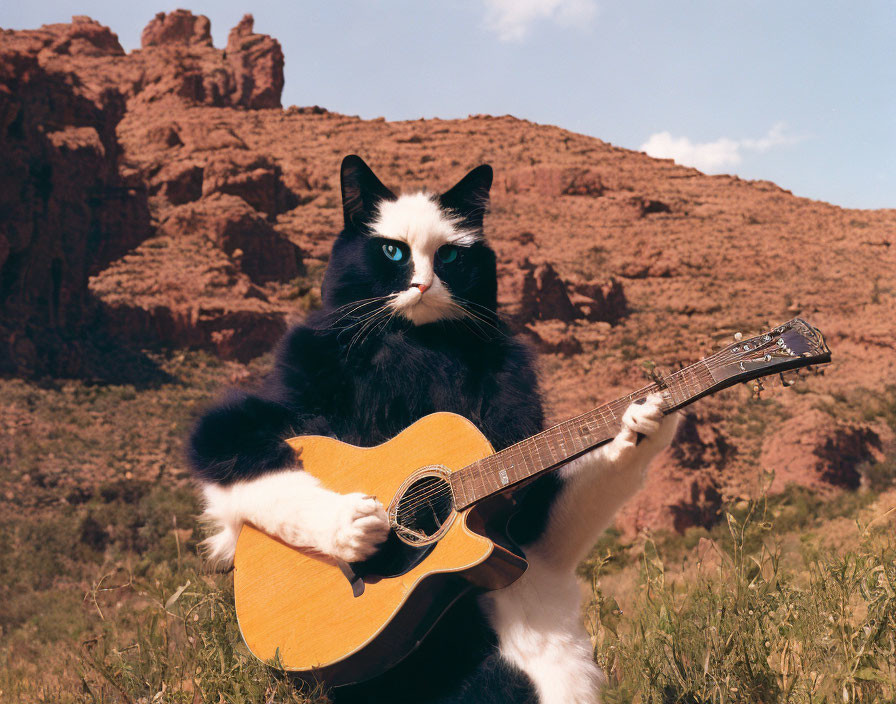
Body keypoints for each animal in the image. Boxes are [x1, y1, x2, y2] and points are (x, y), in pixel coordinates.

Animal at [189, 155, 680, 704]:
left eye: (448, 255)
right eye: (392, 250)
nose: (422, 285)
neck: (418, 346)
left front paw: (644, 420)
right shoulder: (268, 395)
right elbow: (240, 462)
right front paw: (351, 526)